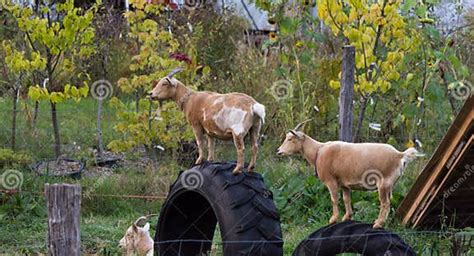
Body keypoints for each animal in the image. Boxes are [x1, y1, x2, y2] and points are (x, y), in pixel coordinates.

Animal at [278, 120, 418, 228]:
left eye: (290, 139)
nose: (279, 151)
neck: (319, 151)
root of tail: (399, 154)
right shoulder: (345, 184)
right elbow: (346, 199)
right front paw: (347, 217)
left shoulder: (331, 181)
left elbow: (334, 199)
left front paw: (333, 219)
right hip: (389, 186)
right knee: (389, 202)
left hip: (383, 184)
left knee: (385, 203)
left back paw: (378, 224)